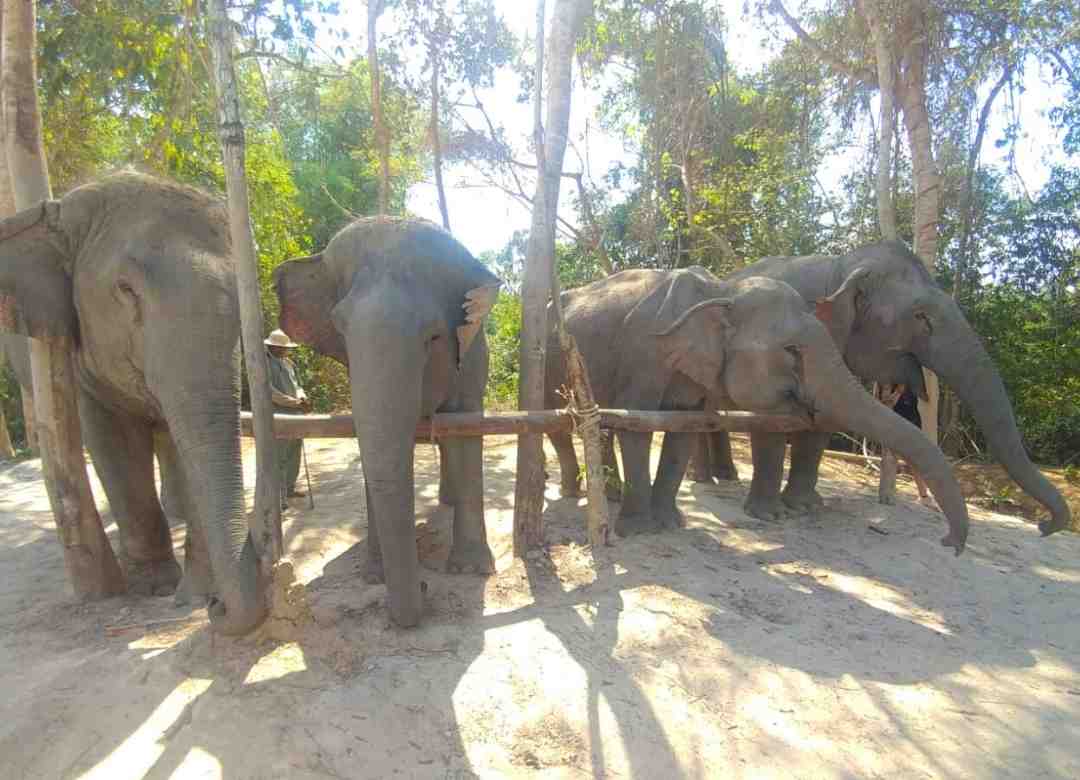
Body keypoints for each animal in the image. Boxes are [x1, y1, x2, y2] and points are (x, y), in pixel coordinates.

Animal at [0, 172, 264, 635]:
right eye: (125, 290)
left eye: (245, 291)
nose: (217, 606)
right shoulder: (72, 346)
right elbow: (113, 440)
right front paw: (156, 587)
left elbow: (185, 438)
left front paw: (194, 592)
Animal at [275, 216, 502, 628]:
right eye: (339, 329)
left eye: (433, 336)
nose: (425, 588)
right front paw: (373, 576)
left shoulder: (473, 357)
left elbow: (465, 432)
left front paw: (470, 571)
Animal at [545, 266, 970, 553]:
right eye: (792, 351)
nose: (948, 542)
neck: (720, 290)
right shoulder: (644, 352)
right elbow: (636, 426)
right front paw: (637, 532)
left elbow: (684, 428)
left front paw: (671, 525)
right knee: (555, 422)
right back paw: (570, 490)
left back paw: (602, 493)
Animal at [695, 241, 1070, 536]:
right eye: (921, 317)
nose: (1043, 526)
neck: (842, 267)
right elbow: (773, 415)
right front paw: (771, 516)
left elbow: (824, 419)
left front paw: (805, 507)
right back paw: (709, 481)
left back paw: (724, 478)